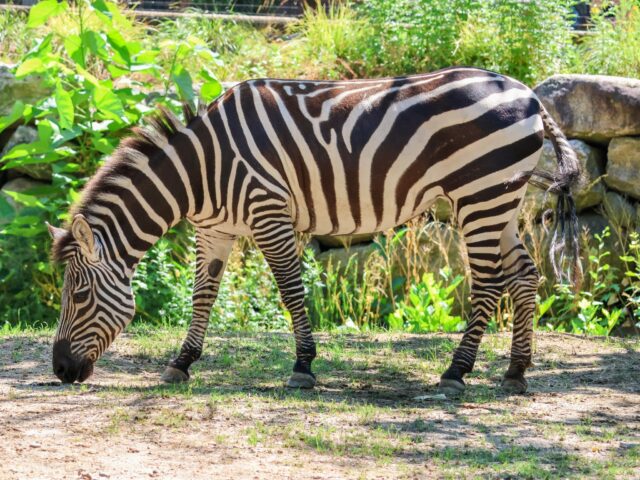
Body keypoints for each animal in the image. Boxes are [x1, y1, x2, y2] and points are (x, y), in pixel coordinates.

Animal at [48, 67, 581, 395]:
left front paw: (303, 366)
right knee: (524, 275)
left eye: (78, 295)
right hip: (500, 200)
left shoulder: (268, 211)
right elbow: (203, 295)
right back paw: (515, 372)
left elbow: (289, 290)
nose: (60, 371)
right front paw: (182, 362)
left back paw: (456, 372)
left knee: (490, 281)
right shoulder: (215, 229)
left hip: (479, 195)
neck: (200, 169)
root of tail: (527, 92)